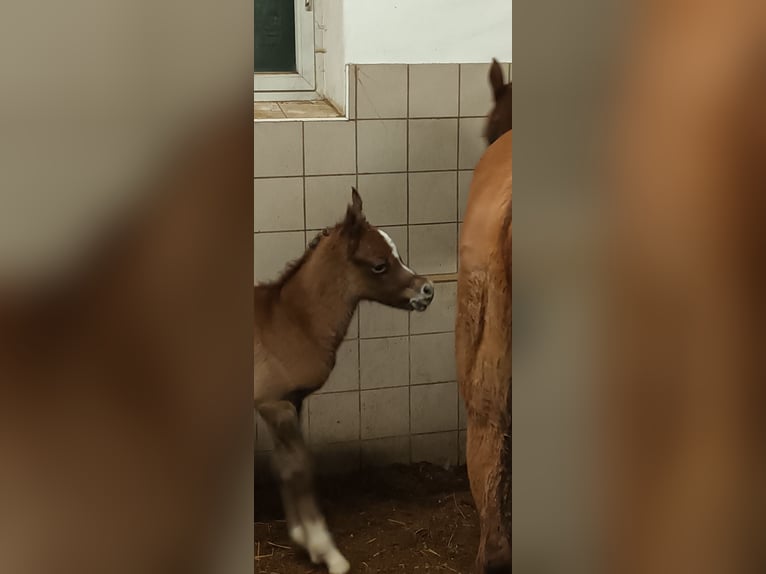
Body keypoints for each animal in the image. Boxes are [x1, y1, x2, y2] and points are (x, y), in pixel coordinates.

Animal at [255, 189, 436, 574]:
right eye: (379, 264)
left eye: (398, 254)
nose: (428, 290)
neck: (289, 322)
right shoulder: (274, 404)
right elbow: (300, 467)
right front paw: (328, 552)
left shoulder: (290, 401)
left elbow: (285, 466)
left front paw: (302, 540)